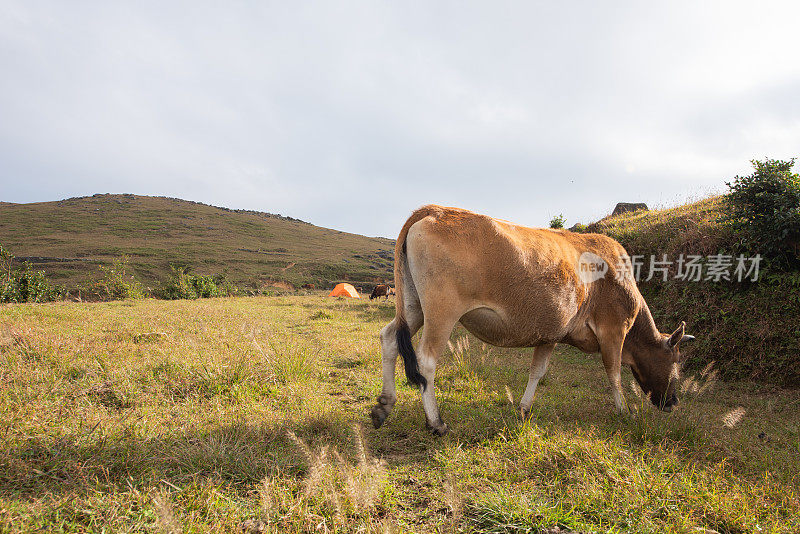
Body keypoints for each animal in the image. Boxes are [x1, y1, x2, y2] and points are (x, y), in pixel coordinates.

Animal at [372, 207, 696, 438]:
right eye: (677, 363)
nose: (673, 402)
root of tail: (433, 210)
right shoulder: (614, 331)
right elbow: (614, 374)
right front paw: (624, 411)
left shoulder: (551, 334)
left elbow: (537, 372)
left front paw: (523, 410)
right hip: (442, 310)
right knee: (426, 360)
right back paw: (436, 422)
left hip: (413, 305)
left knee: (389, 338)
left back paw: (384, 405)